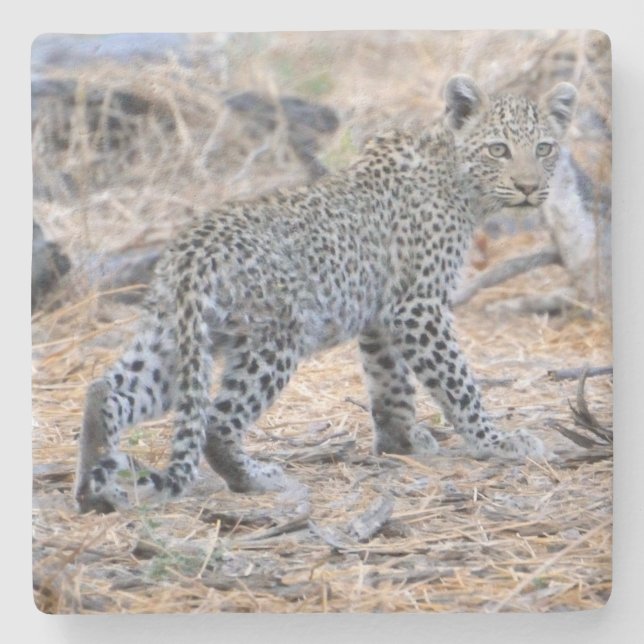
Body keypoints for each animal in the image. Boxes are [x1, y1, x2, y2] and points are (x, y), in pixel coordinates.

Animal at [74, 75, 577, 513]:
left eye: (544, 148)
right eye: (498, 149)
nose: (530, 187)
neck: (458, 180)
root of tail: (191, 249)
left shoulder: (380, 316)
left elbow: (390, 384)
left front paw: (402, 442)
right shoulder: (419, 307)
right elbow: (458, 382)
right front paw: (497, 442)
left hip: (176, 337)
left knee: (109, 389)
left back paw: (97, 482)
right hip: (276, 337)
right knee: (217, 422)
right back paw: (257, 479)